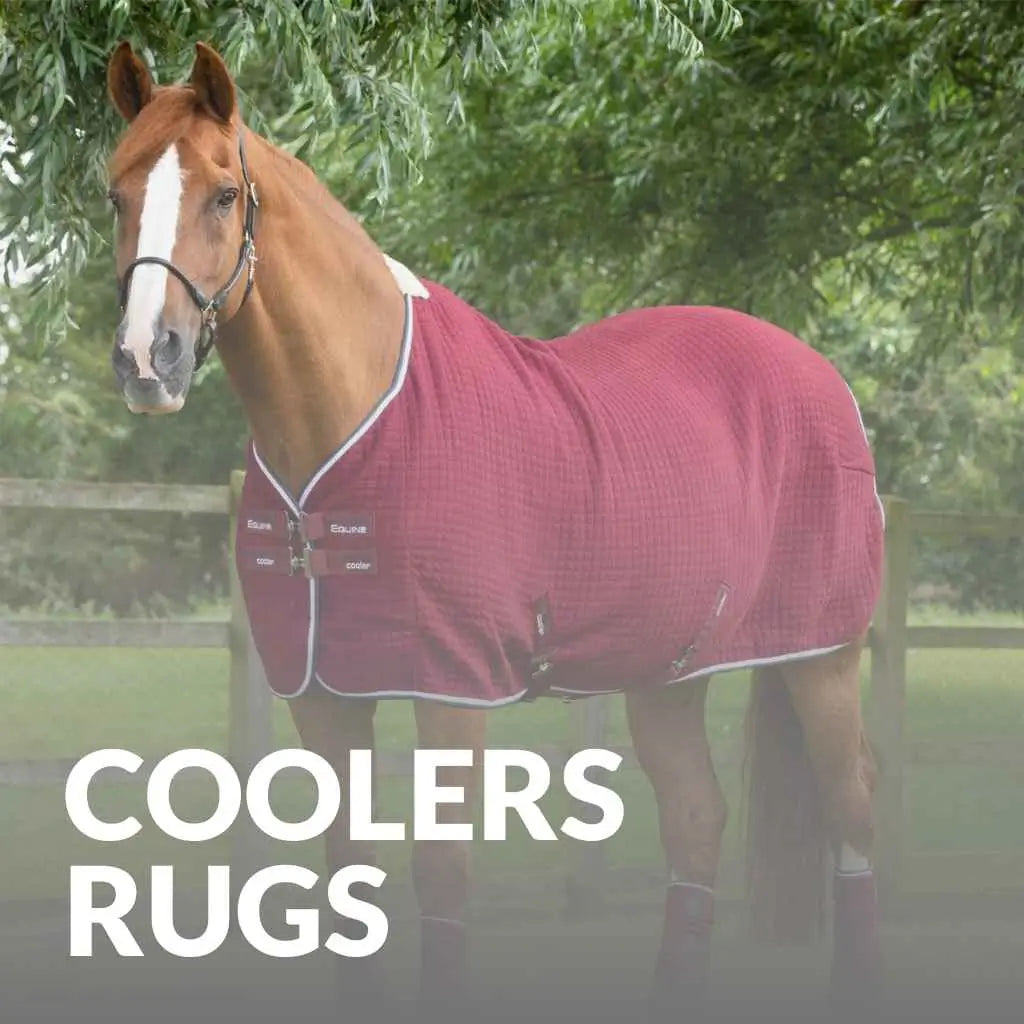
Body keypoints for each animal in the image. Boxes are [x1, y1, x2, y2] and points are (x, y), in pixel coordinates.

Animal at [103, 40, 884, 1015]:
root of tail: (826, 380)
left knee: (854, 814)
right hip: (667, 670)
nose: (148, 359)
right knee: (697, 820)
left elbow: (441, 879)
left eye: (222, 193)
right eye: (116, 193)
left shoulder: (451, 688)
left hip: (825, 660)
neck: (355, 420)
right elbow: (346, 879)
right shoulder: (322, 695)